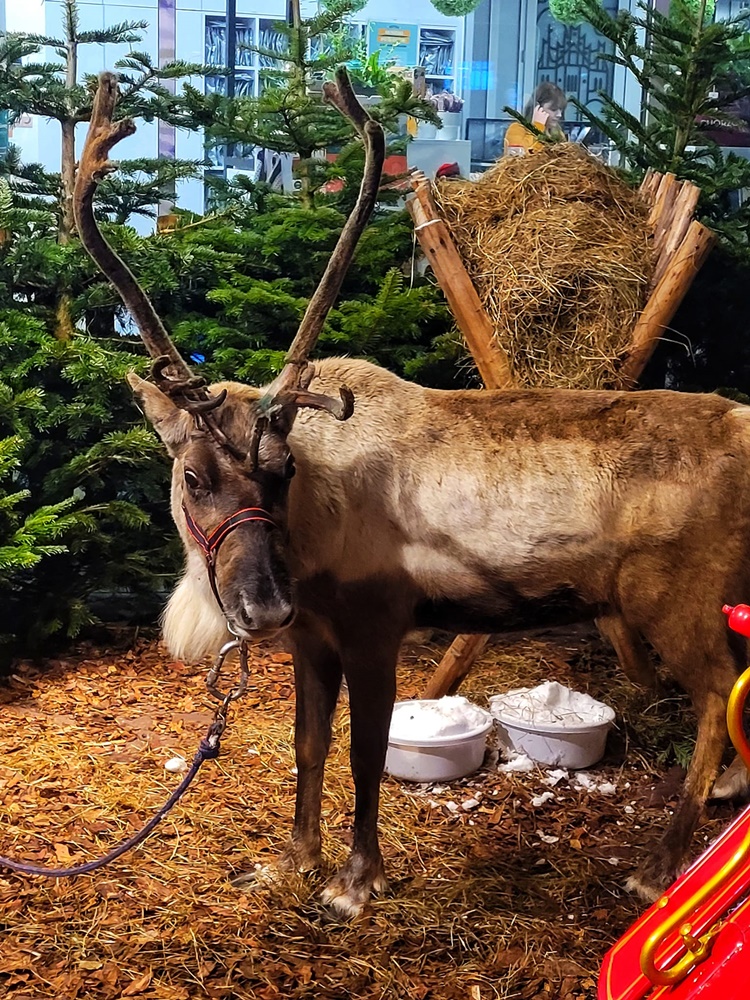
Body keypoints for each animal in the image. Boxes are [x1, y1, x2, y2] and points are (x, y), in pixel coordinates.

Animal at [75, 71, 750, 918]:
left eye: (282, 471)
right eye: (194, 477)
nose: (263, 607)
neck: (312, 537)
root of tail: (746, 427)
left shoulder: (375, 626)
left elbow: (365, 756)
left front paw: (354, 882)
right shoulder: (313, 636)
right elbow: (308, 745)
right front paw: (295, 859)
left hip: (679, 599)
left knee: (716, 699)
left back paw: (659, 867)